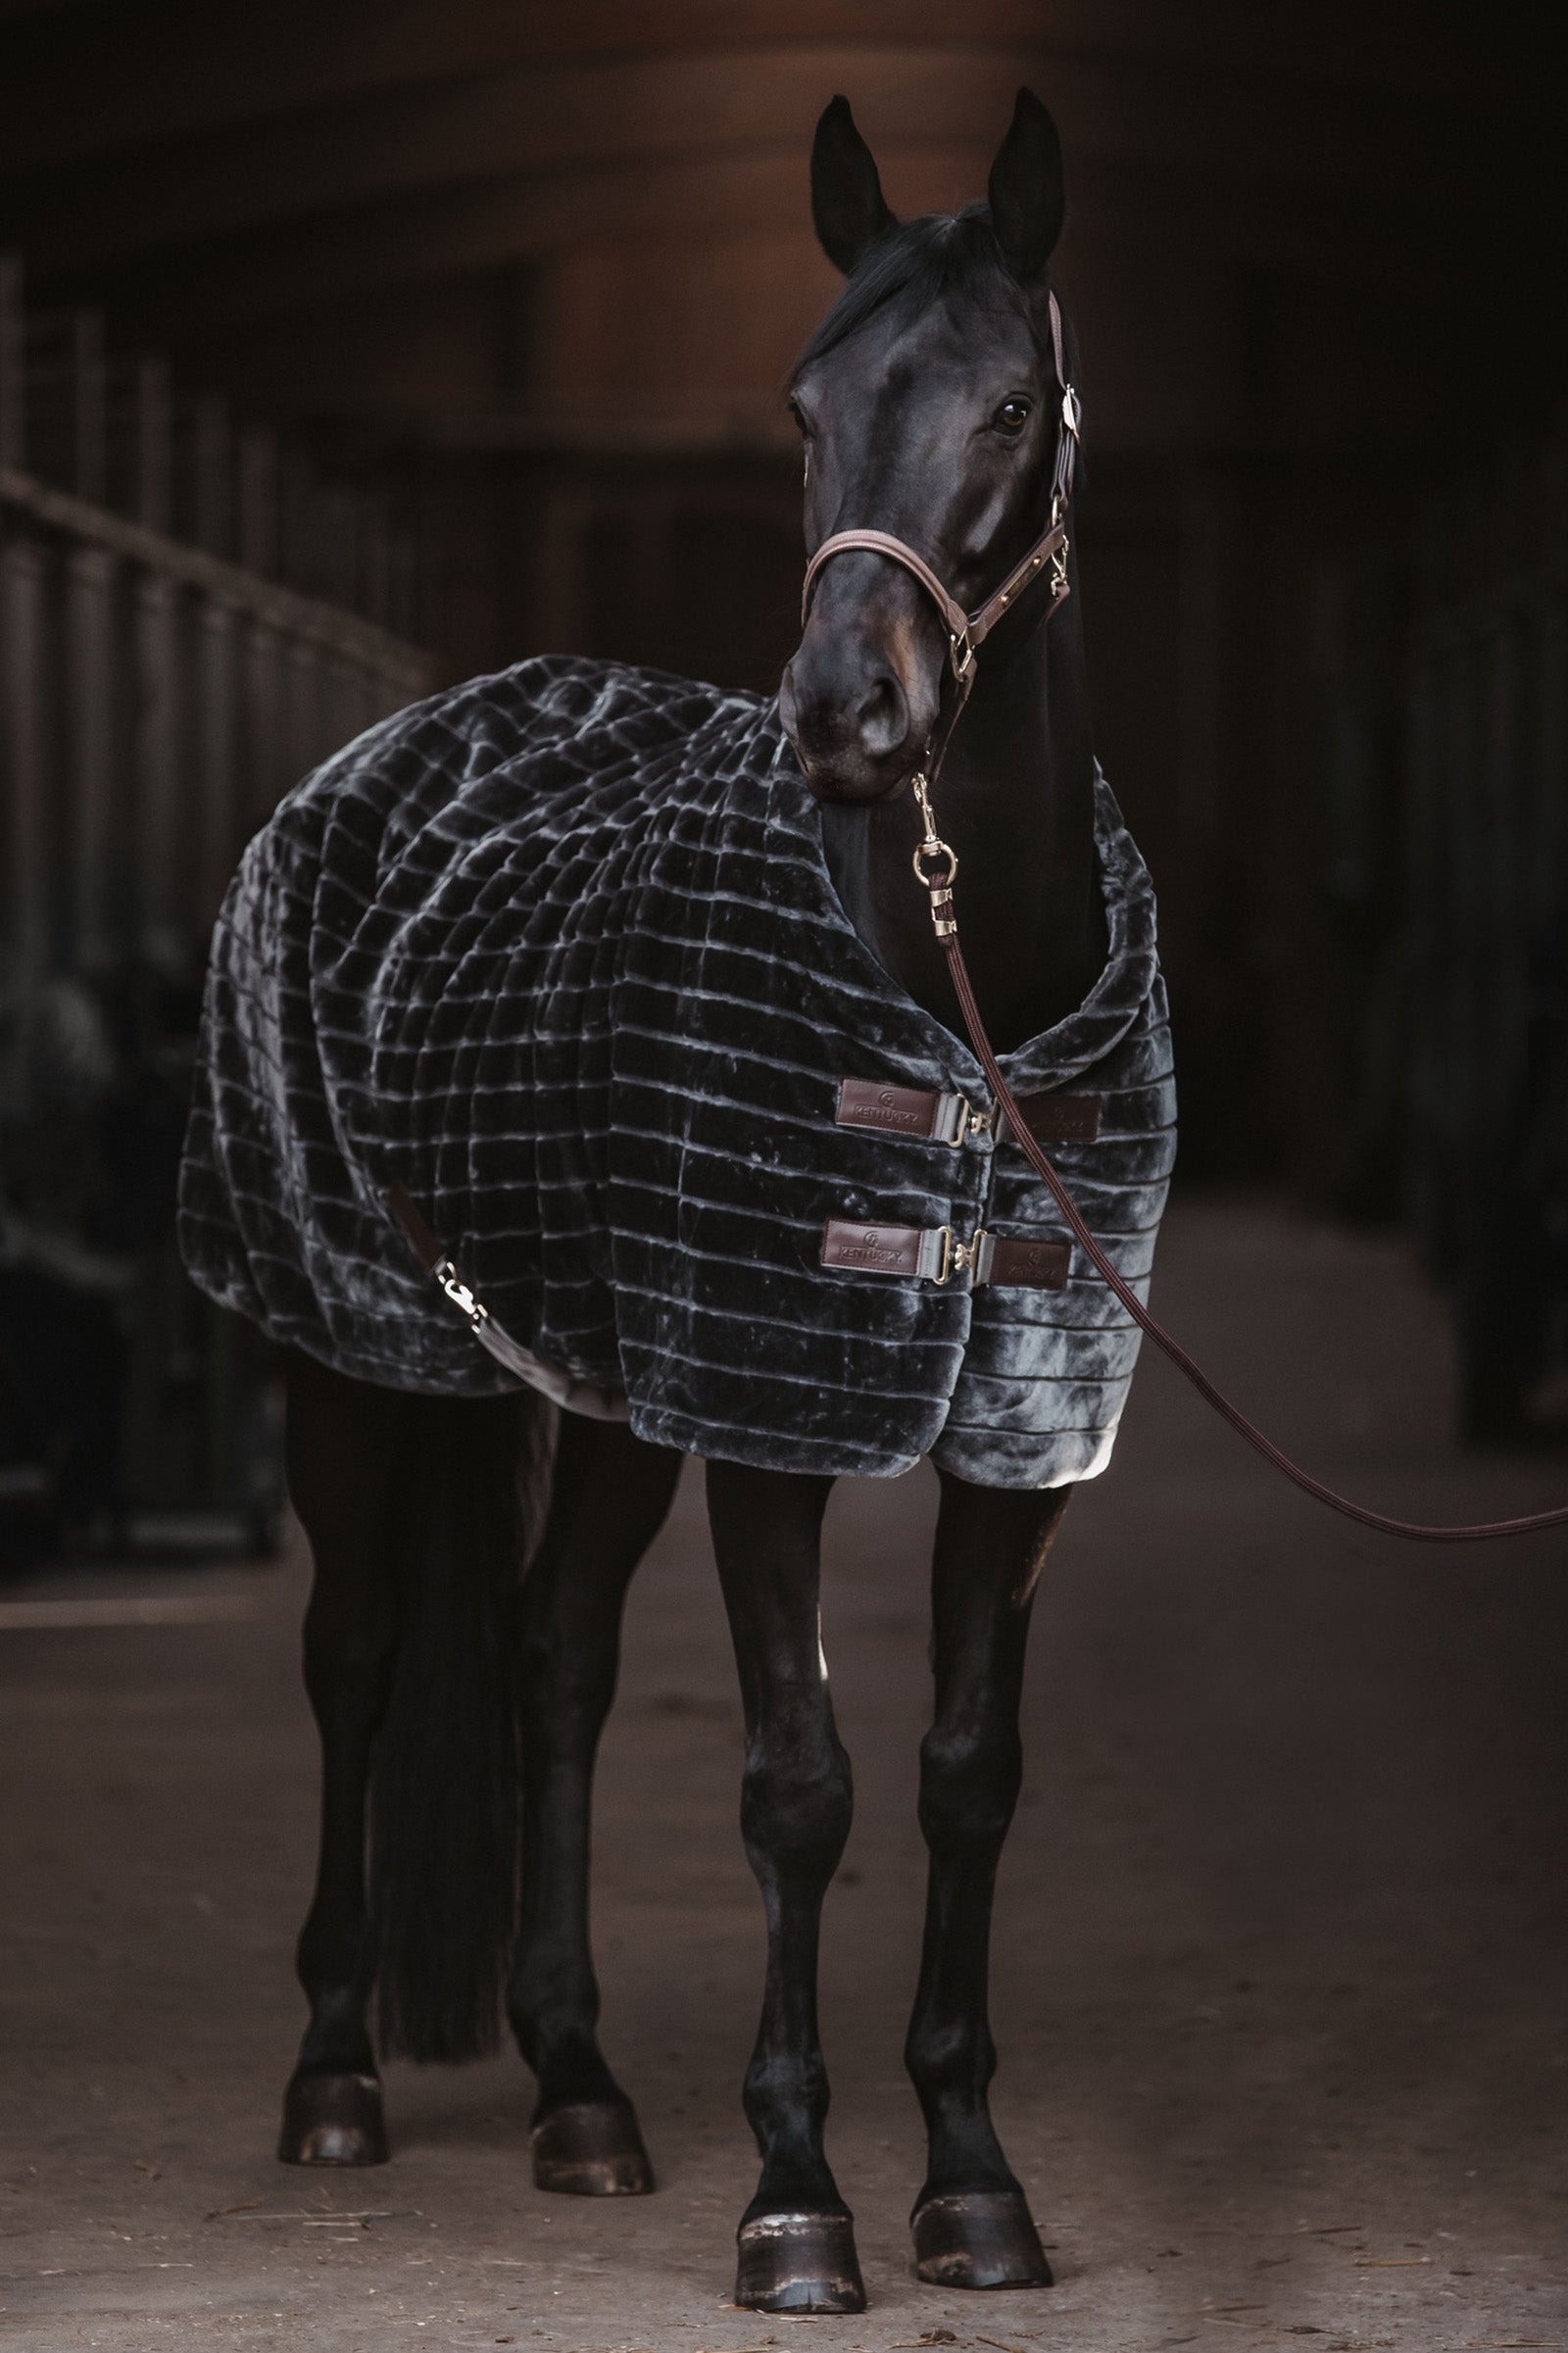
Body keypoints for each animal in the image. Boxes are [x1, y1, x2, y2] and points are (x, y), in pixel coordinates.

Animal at [178, 89, 1176, 2314]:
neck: (955, 988)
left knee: (553, 1657)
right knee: (358, 1654)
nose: (847, 716)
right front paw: (796, 2200)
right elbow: (797, 1788)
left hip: (601, 1388)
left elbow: (963, 1781)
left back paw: (577, 2091)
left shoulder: (1022, 1434)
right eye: (801, 406)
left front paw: (970, 2179)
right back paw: (334, 2069)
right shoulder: (767, 1412)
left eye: (1008, 402)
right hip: (350, 1348)